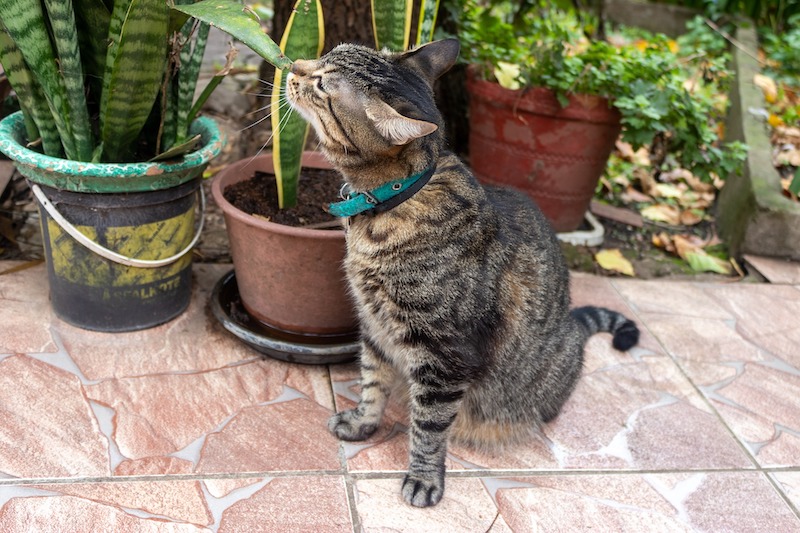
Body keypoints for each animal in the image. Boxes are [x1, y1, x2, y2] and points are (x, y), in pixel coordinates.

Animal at [284, 38, 640, 508]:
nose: (292, 65)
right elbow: (372, 384)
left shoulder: (445, 356)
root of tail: (572, 325)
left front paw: (423, 478)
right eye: (328, 53)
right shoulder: (375, 328)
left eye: (323, 84)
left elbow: (429, 427)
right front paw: (363, 423)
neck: (391, 201)